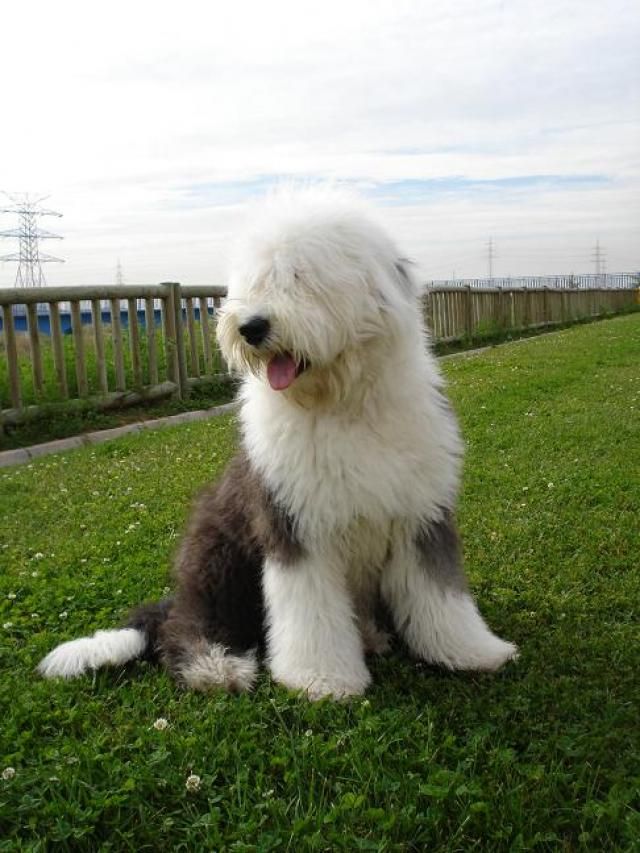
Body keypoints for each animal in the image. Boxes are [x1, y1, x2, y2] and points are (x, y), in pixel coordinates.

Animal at [37, 186, 516, 700]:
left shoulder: (420, 514)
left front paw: (472, 652)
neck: (340, 403)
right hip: (217, 558)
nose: (251, 327)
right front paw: (322, 679)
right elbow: (311, 613)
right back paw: (215, 665)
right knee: (186, 626)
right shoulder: (294, 523)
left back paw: (370, 636)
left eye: (301, 277)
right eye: (257, 281)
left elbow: (440, 595)